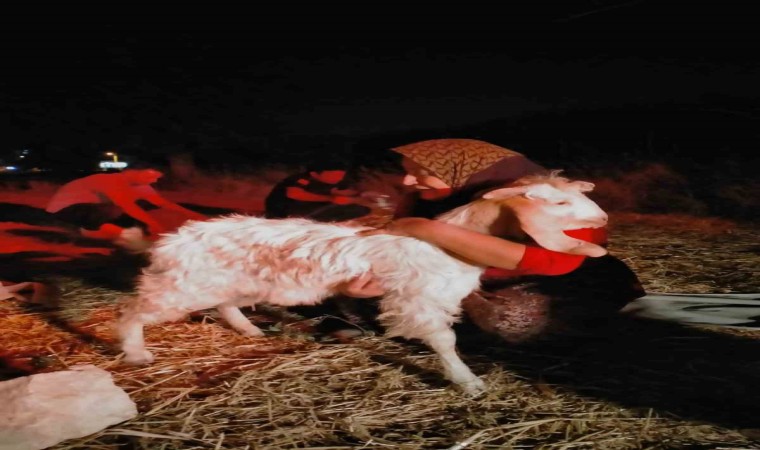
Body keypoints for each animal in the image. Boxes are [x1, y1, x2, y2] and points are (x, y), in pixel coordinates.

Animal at [116, 172, 608, 395]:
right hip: (182, 284)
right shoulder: (417, 299)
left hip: (230, 281)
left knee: (226, 305)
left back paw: (250, 330)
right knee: (135, 310)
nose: (603, 220)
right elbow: (444, 342)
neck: (452, 245)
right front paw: (467, 382)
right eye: (557, 203)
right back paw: (136, 352)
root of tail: (173, 238)